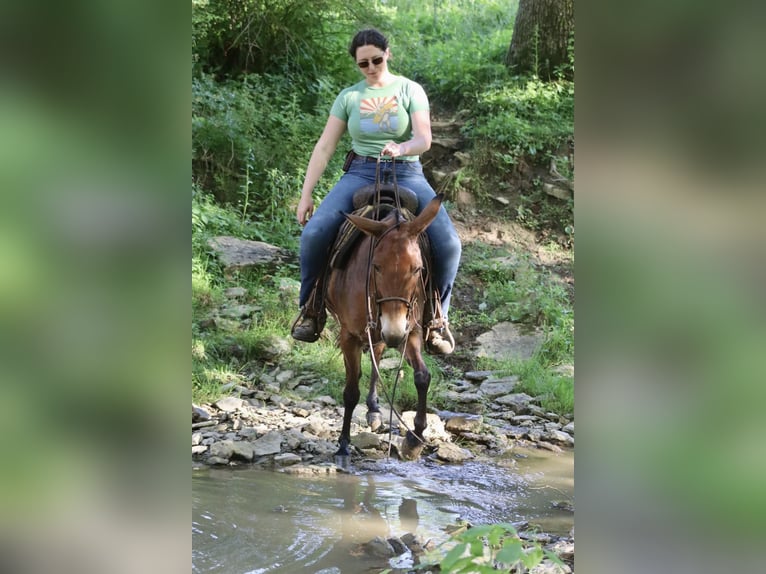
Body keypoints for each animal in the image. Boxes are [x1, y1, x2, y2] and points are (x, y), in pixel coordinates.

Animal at [324, 196, 444, 462]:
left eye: (418, 268)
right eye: (376, 266)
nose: (394, 331)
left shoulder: (411, 331)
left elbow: (422, 376)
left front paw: (414, 438)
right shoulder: (349, 335)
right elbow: (350, 391)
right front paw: (344, 444)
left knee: (377, 357)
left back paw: (374, 409)